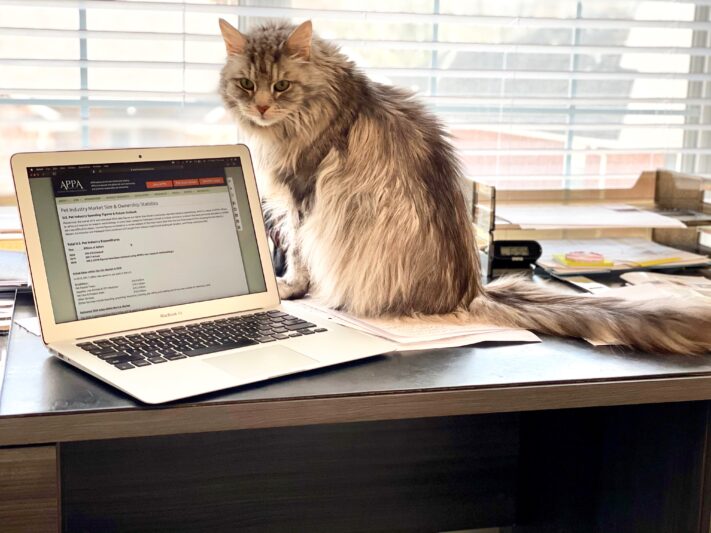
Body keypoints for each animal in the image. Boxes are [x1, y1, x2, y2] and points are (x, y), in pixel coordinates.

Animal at [220, 18, 711, 356]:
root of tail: (469, 291)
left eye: (281, 86)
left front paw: (289, 289)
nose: (260, 107)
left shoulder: (303, 195)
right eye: (245, 84)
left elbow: (299, 257)